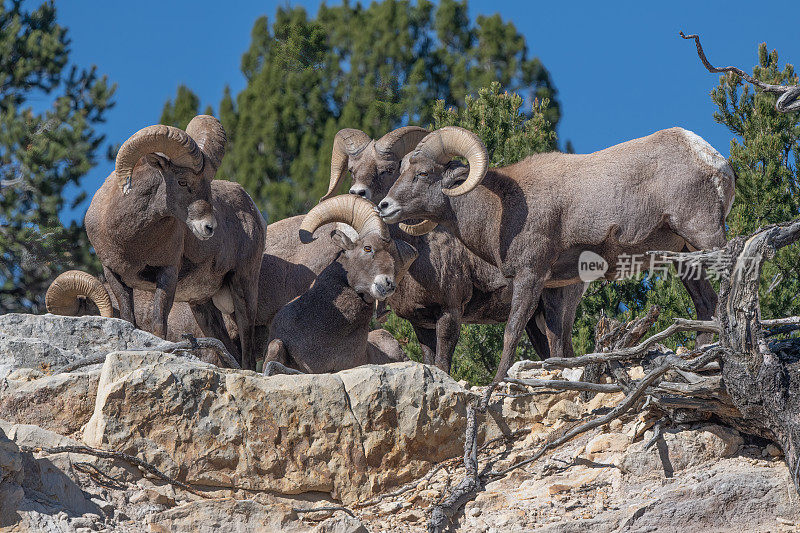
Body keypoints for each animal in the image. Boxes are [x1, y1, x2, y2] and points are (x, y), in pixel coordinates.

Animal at [85, 114, 266, 368]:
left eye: (208, 183)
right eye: (182, 181)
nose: (209, 227)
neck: (130, 242)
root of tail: (252, 210)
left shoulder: (167, 274)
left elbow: (159, 323)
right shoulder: (114, 274)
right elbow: (128, 320)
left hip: (243, 285)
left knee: (247, 346)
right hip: (201, 306)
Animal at [322, 127, 584, 372]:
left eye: (387, 169)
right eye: (352, 170)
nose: (358, 193)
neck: (421, 255)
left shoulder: (449, 314)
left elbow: (442, 364)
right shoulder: (421, 324)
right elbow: (431, 362)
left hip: (554, 307)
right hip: (534, 322)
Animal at [378, 127, 736, 388]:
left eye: (423, 173)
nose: (384, 206)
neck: (499, 209)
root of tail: (712, 158)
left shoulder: (530, 276)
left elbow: (512, 333)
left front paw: (497, 384)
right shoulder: (554, 287)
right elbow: (556, 341)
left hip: (703, 233)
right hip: (684, 255)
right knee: (705, 303)